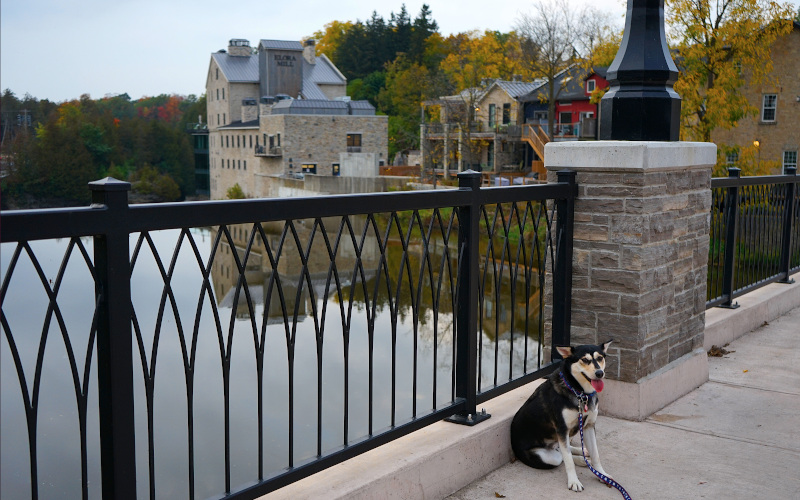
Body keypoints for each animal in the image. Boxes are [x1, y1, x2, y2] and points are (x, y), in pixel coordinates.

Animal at [510, 340, 616, 492]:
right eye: (585, 360)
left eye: (600, 358)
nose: (599, 373)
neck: (580, 393)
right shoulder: (562, 429)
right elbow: (568, 460)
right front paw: (574, 481)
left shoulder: (589, 426)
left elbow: (596, 455)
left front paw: (602, 474)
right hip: (548, 457)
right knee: (561, 456)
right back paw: (580, 459)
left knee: (564, 450)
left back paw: (582, 454)